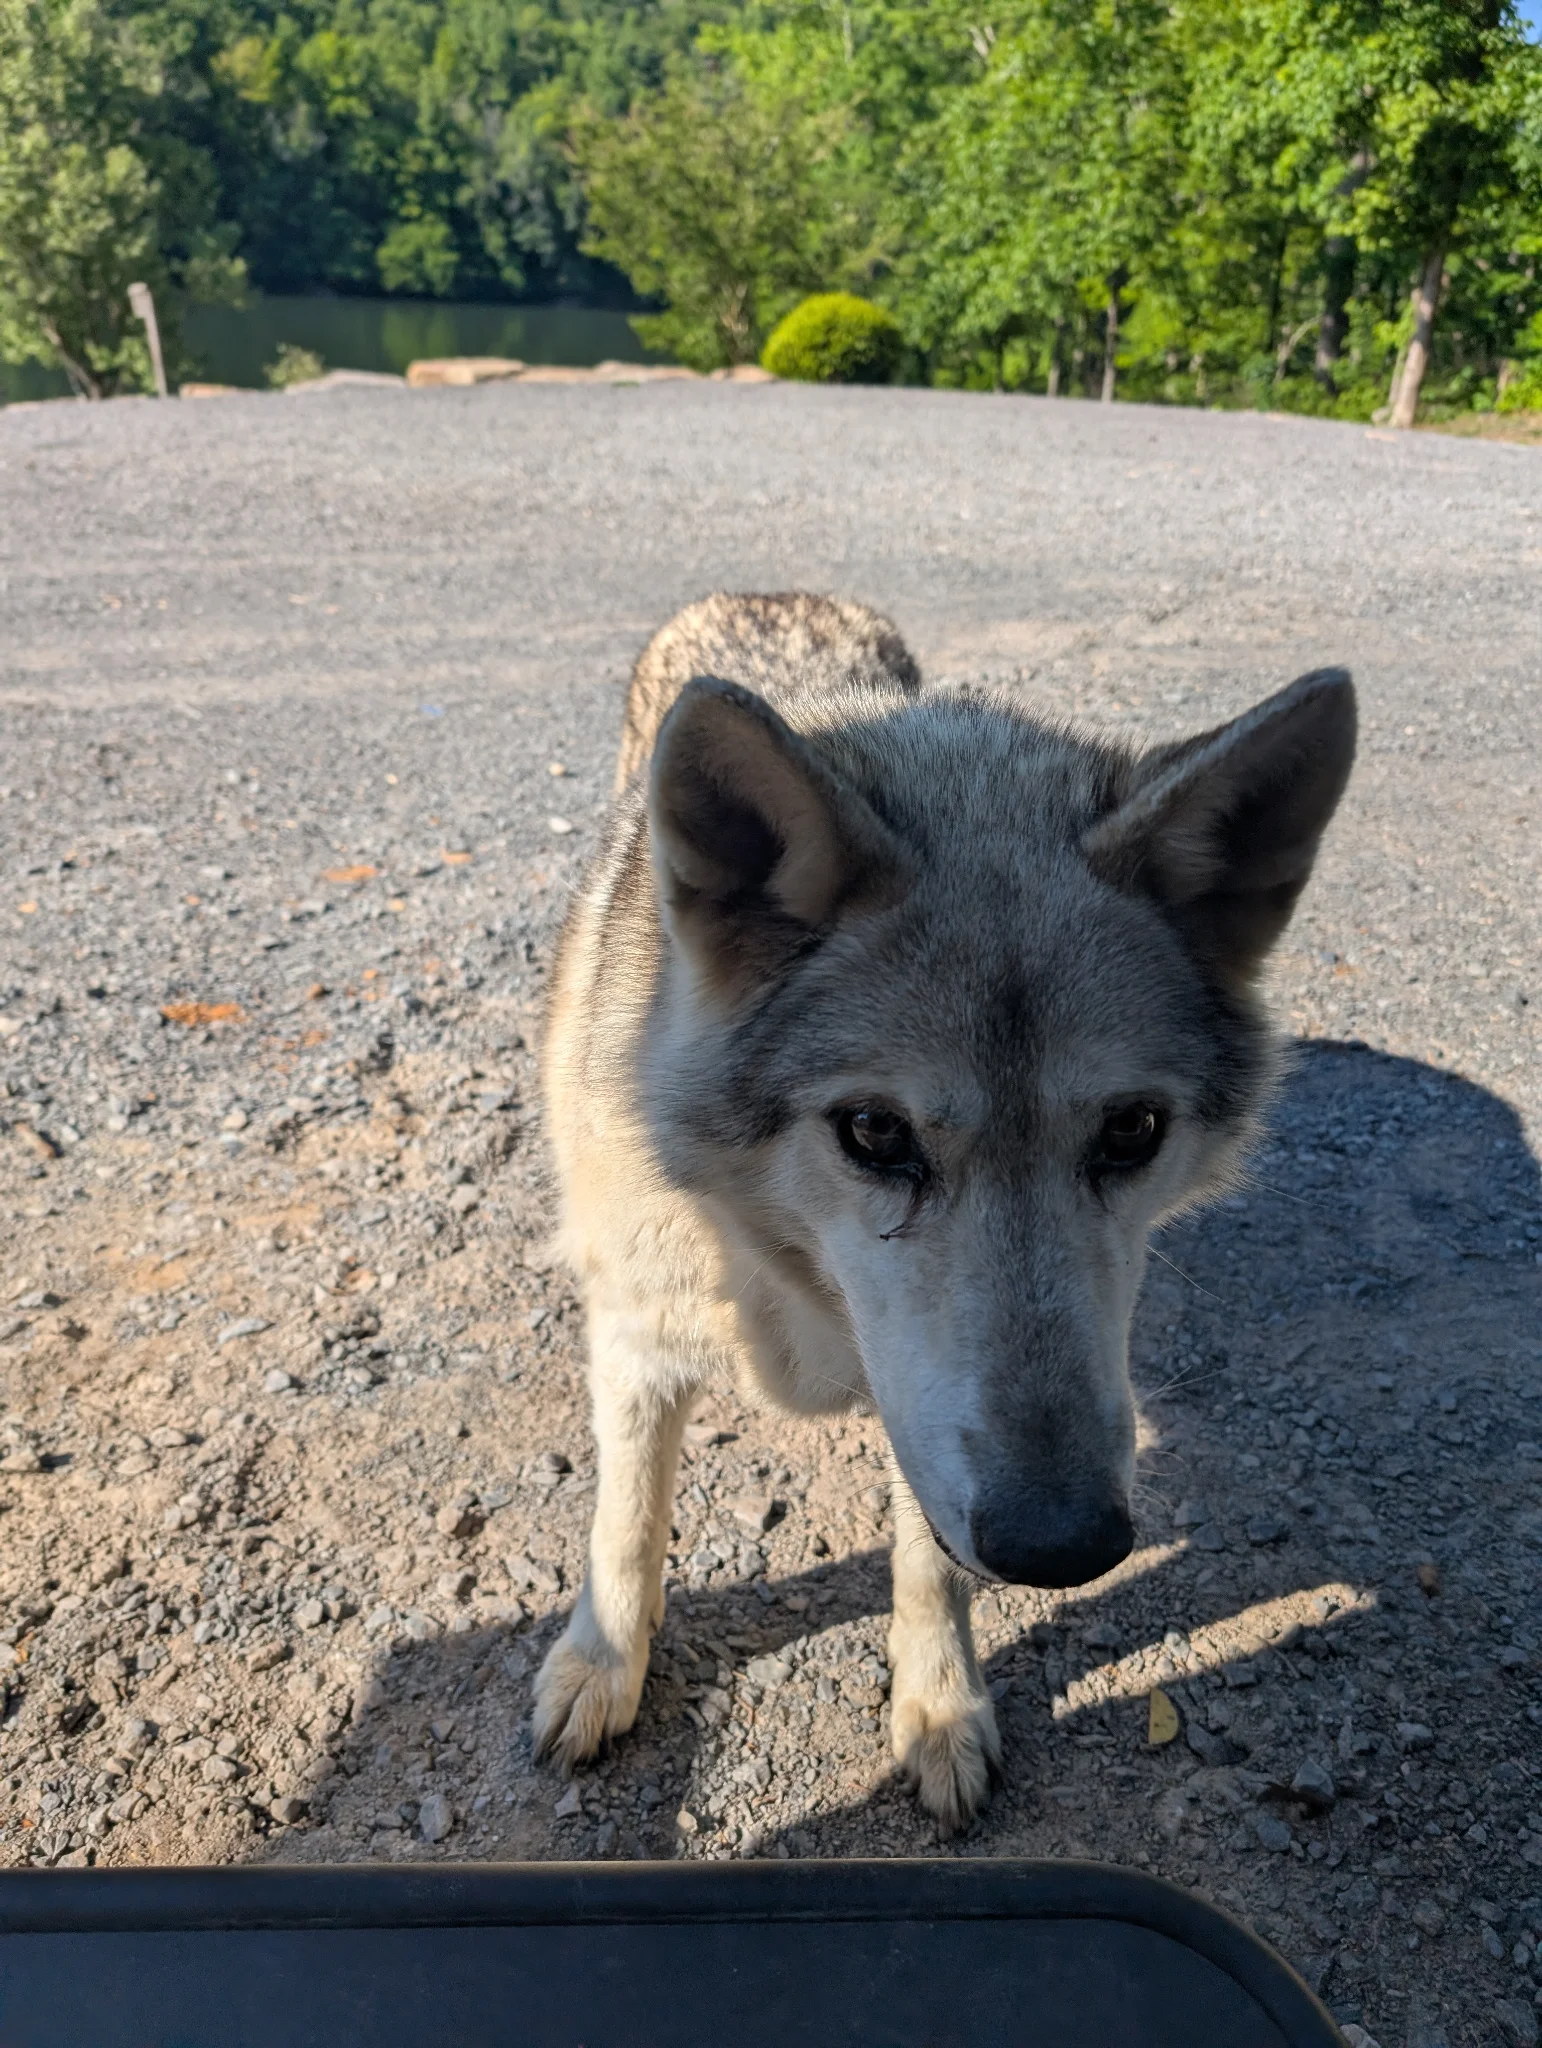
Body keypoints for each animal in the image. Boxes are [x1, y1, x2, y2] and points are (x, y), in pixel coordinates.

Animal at [533, 589, 1355, 1829]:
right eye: (875, 1131)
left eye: (1132, 1129)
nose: (1067, 1545)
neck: (788, 1281)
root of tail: (770, 592)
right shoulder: (640, 1341)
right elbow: (623, 1524)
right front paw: (602, 1667)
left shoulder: (925, 1410)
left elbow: (928, 1559)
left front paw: (938, 1705)